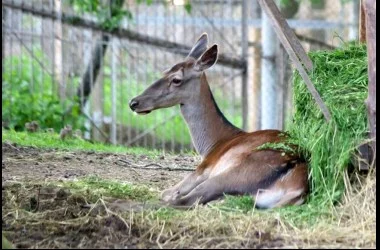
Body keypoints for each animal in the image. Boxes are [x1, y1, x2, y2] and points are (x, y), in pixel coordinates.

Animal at [128, 33, 308, 209]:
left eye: (176, 79)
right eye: (164, 71)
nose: (134, 102)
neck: (212, 145)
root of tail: (296, 187)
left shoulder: (203, 168)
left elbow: (166, 192)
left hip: (234, 174)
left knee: (185, 200)